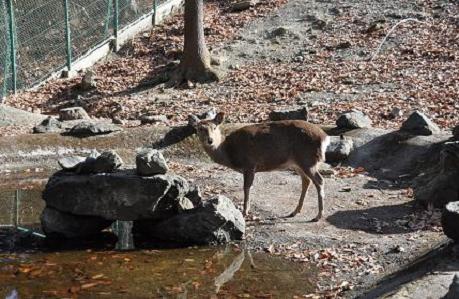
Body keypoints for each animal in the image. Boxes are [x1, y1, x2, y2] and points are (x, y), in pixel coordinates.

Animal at [190, 112, 330, 223]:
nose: (210, 140)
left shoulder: (249, 164)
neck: (229, 152)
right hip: (298, 163)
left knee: (319, 180)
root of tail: (324, 137)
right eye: (200, 128)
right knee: (307, 181)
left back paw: (318, 216)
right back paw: (295, 211)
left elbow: (247, 187)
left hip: (307, 159)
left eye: (214, 127)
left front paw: (245, 212)